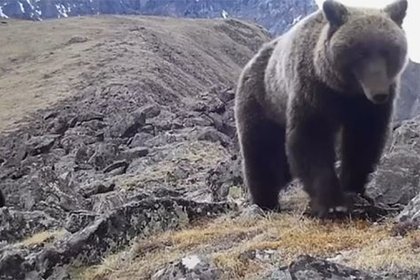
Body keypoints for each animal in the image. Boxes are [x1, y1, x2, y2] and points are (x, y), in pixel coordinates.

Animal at [236, 0, 410, 217]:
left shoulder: (365, 107)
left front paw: (354, 188)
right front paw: (332, 202)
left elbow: (363, 141)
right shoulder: (314, 91)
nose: (379, 93)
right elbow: (312, 140)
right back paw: (265, 202)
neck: (345, 89)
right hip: (263, 102)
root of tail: (250, 62)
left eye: (389, 50)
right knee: (261, 152)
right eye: (360, 52)